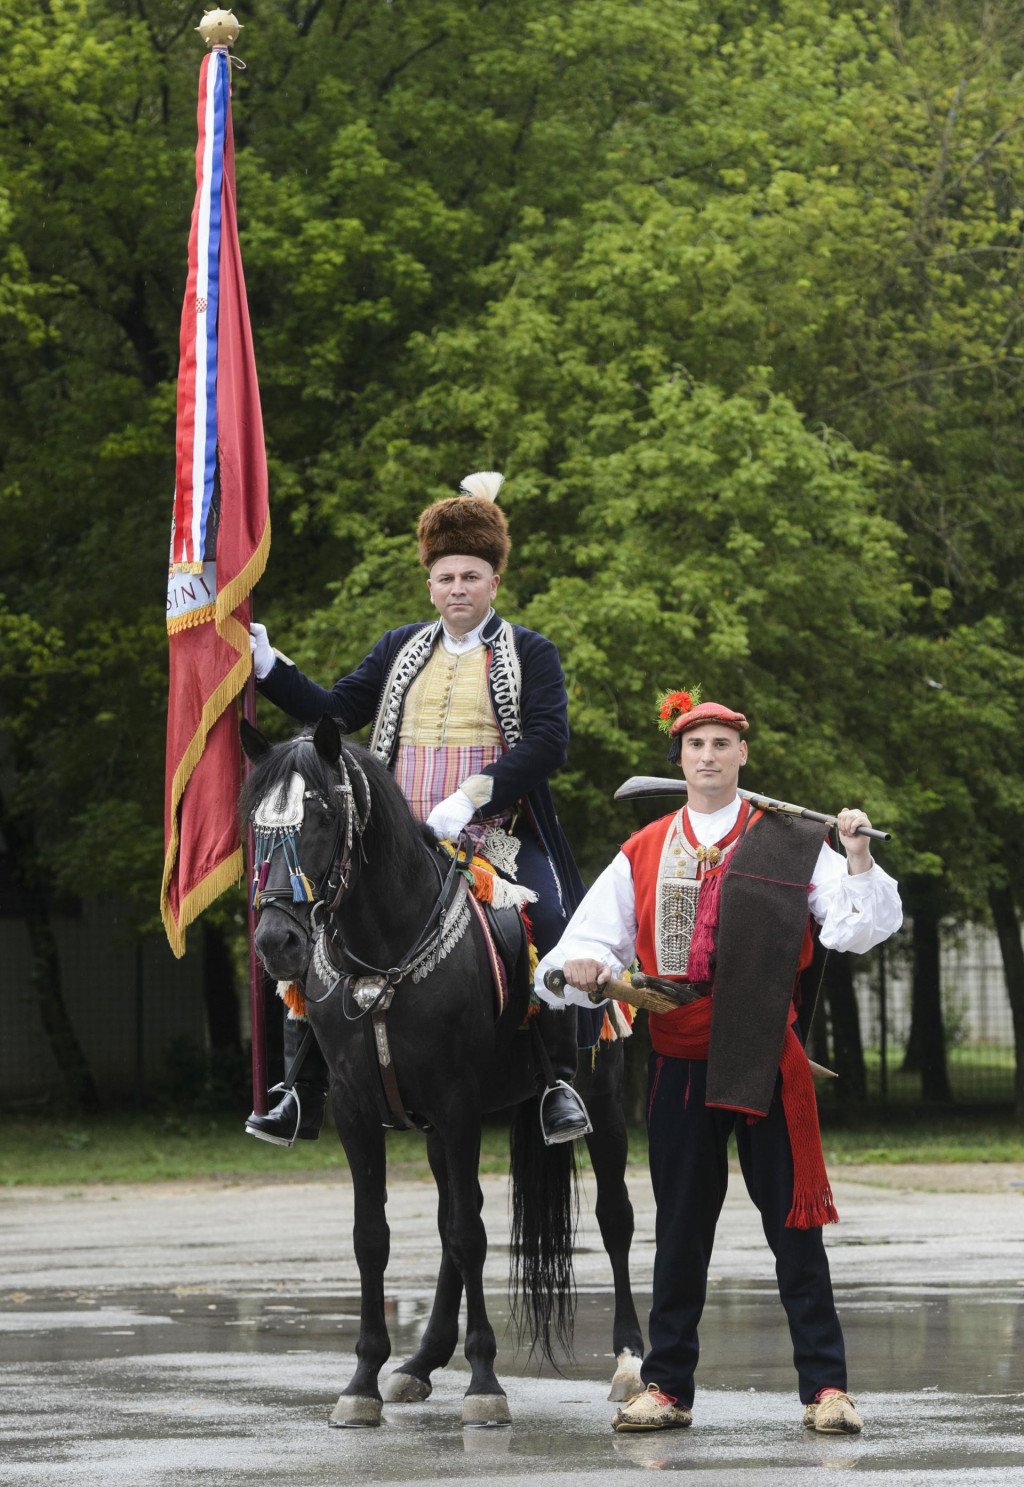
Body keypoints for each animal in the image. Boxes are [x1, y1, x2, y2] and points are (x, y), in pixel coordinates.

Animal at [242, 719, 639, 1427]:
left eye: (322, 815)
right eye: (257, 825)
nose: (275, 943)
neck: (383, 950)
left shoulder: (458, 1106)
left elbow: (470, 1234)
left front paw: (484, 1382)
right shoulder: (358, 1109)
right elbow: (375, 1235)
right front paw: (363, 1379)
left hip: (601, 1097)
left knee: (613, 1217)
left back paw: (627, 1363)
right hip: (431, 1129)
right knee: (453, 1225)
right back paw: (420, 1362)